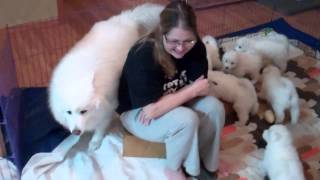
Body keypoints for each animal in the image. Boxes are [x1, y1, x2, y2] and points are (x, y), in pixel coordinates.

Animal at [48, 3, 164, 151]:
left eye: (83, 111)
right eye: (68, 112)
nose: (76, 132)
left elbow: (100, 128)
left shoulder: (107, 109)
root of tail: (125, 18)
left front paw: (95, 143)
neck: (77, 76)